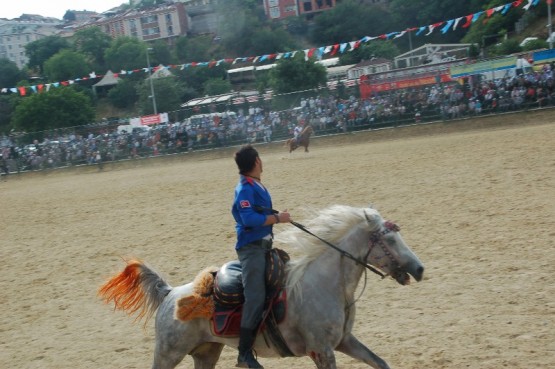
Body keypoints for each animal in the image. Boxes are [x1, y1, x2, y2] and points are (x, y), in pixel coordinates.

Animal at [99, 204, 426, 368]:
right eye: (390, 239)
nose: (419, 269)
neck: (326, 285)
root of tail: (170, 294)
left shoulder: (344, 341)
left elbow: (380, 363)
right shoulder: (322, 350)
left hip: (206, 352)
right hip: (168, 353)